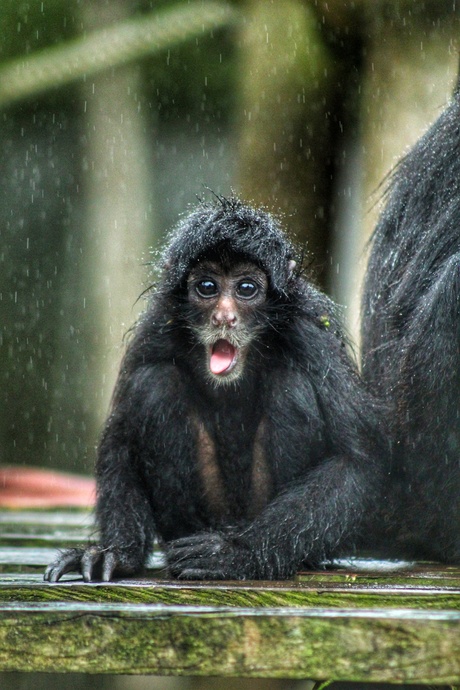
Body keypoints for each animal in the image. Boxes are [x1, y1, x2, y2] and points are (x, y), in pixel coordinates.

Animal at [45, 195, 384, 580]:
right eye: (207, 288)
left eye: (246, 289)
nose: (224, 317)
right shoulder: (157, 324)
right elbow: (119, 442)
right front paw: (117, 553)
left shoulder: (311, 329)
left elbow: (355, 460)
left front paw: (235, 554)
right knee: (155, 383)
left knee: (292, 384)